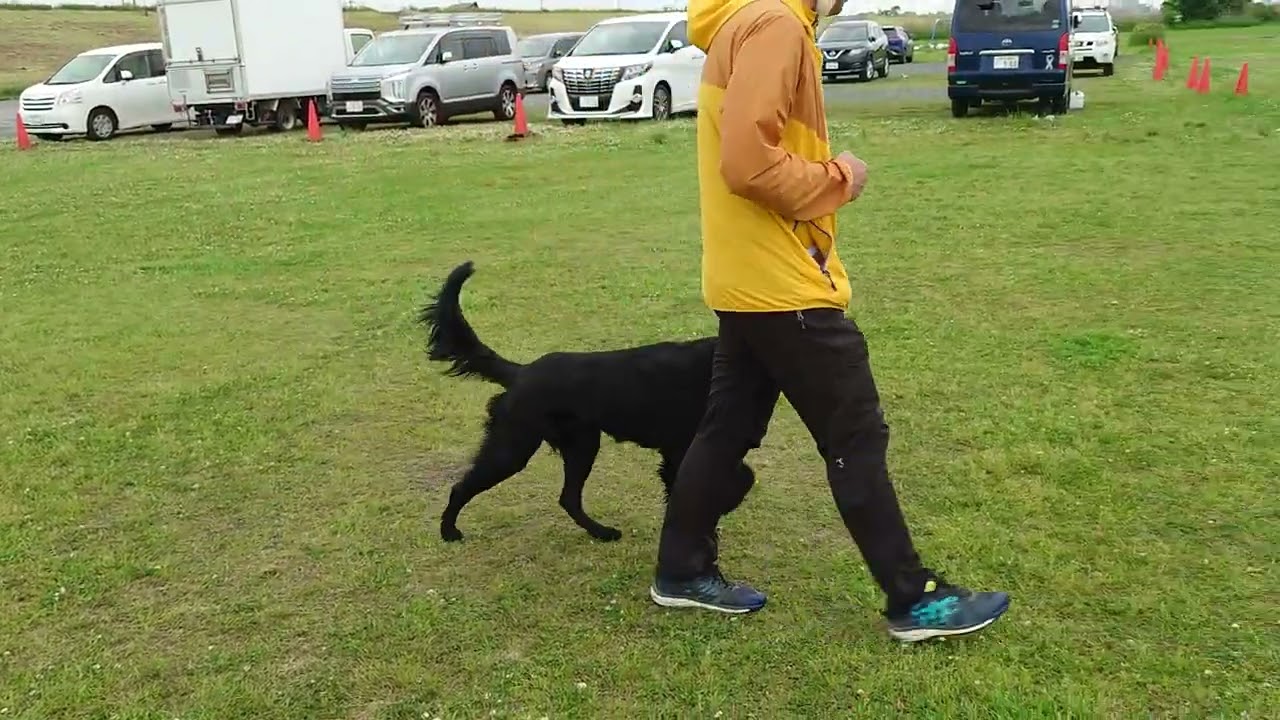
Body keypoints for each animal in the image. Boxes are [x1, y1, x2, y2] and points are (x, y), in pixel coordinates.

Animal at [419, 261, 759, 542]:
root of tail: (522, 372)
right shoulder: (682, 449)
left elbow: (741, 478)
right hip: (514, 448)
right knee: (461, 486)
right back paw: (449, 531)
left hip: (581, 444)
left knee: (568, 498)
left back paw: (601, 532)